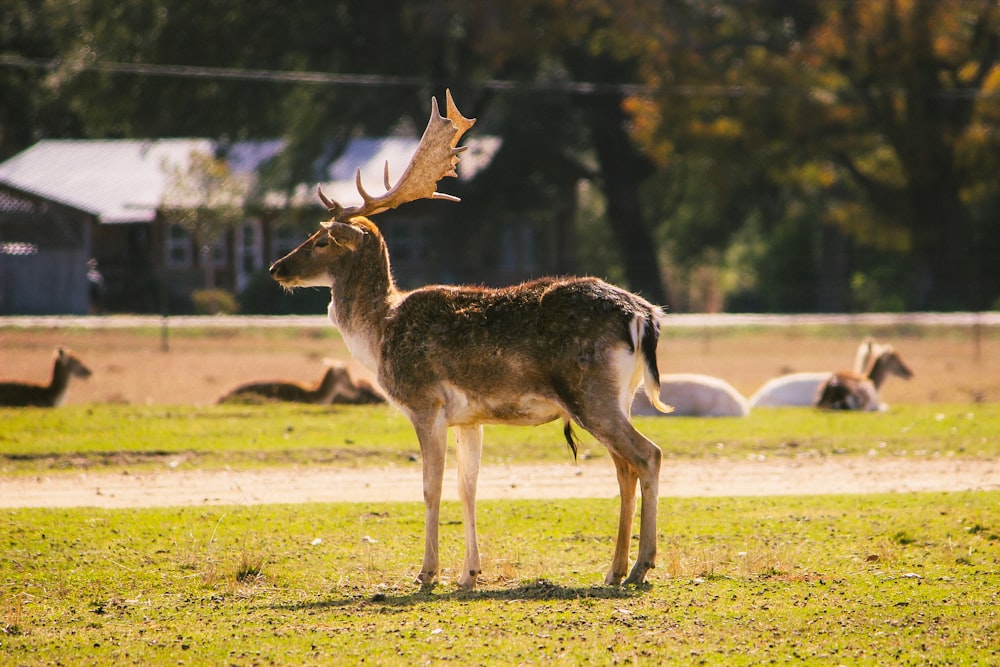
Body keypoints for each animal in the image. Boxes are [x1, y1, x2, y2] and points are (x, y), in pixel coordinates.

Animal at [272, 90, 672, 588]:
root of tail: (645, 315)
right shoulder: (469, 417)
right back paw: (614, 569)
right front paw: (468, 573)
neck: (381, 331)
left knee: (648, 455)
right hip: (621, 395)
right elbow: (468, 488)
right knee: (625, 468)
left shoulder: (425, 403)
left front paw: (427, 572)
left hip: (591, 393)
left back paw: (641, 566)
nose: (277, 268)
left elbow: (431, 487)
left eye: (322, 240)